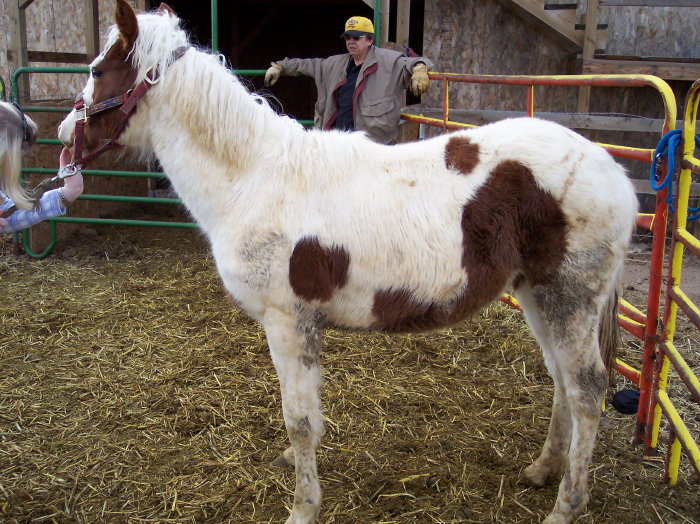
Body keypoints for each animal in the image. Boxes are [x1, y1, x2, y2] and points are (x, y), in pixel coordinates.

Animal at [58, 2, 638, 523]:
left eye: (97, 71)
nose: (65, 134)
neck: (253, 176)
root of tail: (609, 168)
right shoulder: (304, 323)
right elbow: (308, 415)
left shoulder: (287, 321)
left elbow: (299, 420)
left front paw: (302, 508)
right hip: (537, 295)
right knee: (562, 381)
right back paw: (542, 471)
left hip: (568, 298)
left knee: (587, 389)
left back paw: (565, 507)